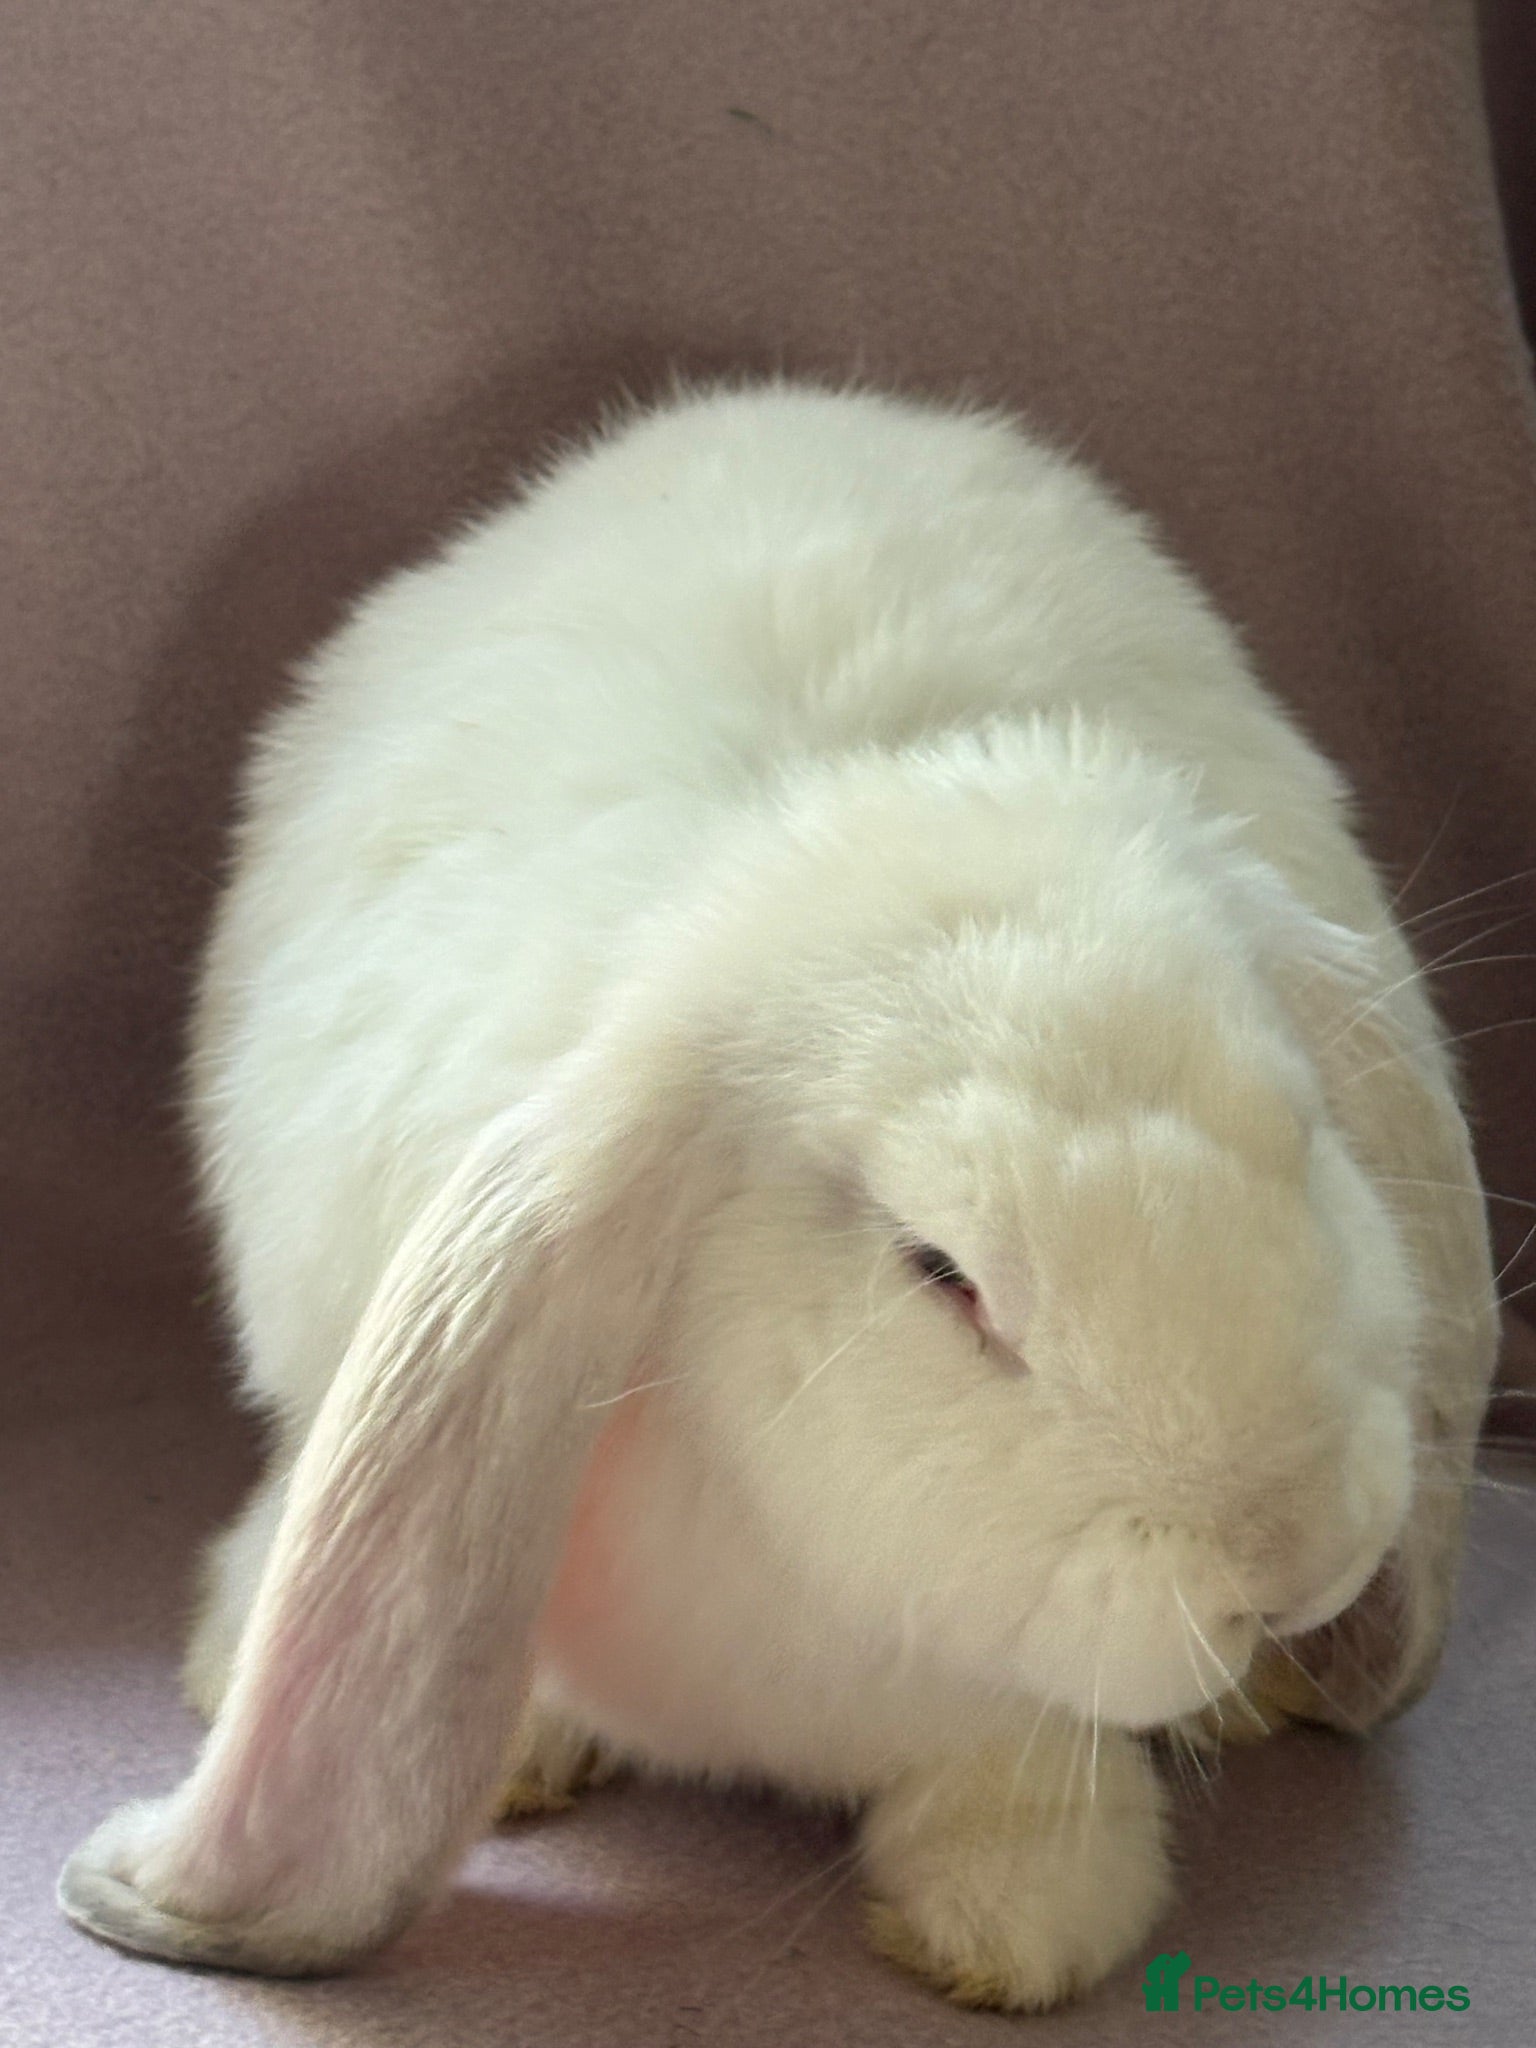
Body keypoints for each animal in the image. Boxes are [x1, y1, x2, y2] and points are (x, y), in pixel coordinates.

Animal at [58, 379, 1497, 2010]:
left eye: (1306, 1130)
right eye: (943, 1273)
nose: (1296, 1560)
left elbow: (1014, 1787)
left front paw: (1000, 1928)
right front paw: (509, 1750)